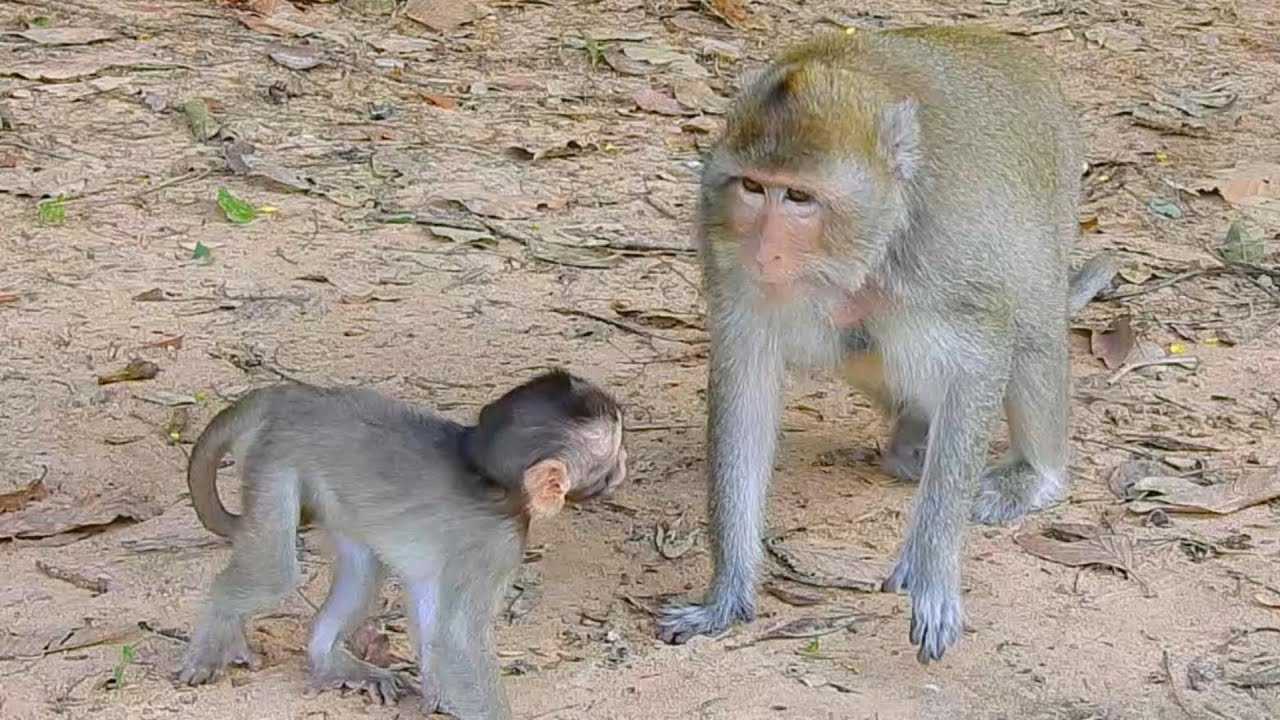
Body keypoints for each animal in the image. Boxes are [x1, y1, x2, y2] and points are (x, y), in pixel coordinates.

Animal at [177, 369, 627, 719]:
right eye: (611, 459)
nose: (624, 465)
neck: (494, 484)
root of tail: (292, 396)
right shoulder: (496, 543)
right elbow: (456, 638)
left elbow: (433, 613)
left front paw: (438, 697)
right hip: (277, 462)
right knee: (276, 575)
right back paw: (219, 626)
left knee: (362, 569)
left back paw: (329, 659)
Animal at [654, 26, 1116, 663]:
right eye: (752, 186)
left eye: (799, 198)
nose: (764, 251)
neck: (870, 242)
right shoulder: (722, 244)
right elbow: (744, 382)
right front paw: (726, 594)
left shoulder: (951, 242)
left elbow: (984, 353)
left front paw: (930, 568)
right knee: (860, 338)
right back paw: (909, 436)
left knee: (1029, 323)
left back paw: (1034, 473)